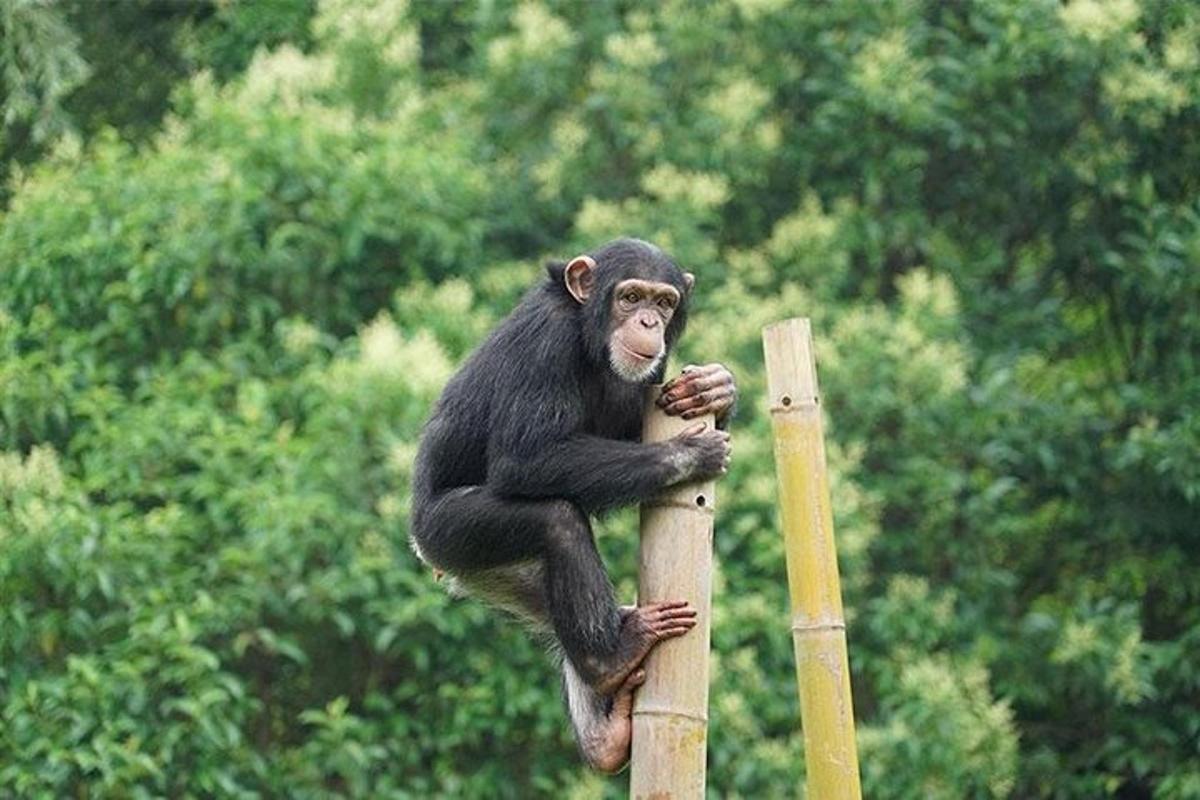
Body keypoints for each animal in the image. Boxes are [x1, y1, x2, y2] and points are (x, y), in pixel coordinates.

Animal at [408, 236, 734, 767]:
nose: (649, 322)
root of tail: (425, 553)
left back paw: (607, 730)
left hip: (495, 571)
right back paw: (611, 660)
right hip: (448, 534)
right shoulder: (547, 340)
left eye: (664, 302)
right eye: (630, 297)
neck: (586, 332)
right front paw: (685, 454)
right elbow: (526, 457)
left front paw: (718, 388)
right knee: (555, 520)